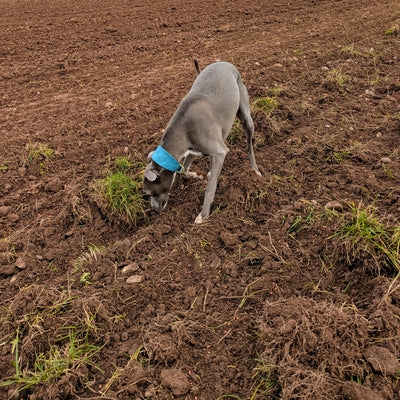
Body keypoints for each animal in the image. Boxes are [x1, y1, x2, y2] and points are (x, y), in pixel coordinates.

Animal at [142, 59, 260, 223]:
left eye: (149, 193)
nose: (154, 210)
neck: (183, 126)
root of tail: (224, 62)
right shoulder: (193, 149)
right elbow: (185, 169)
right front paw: (195, 175)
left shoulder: (218, 152)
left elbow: (209, 188)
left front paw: (203, 215)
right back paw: (211, 172)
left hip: (245, 116)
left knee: (249, 145)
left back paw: (255, 170)